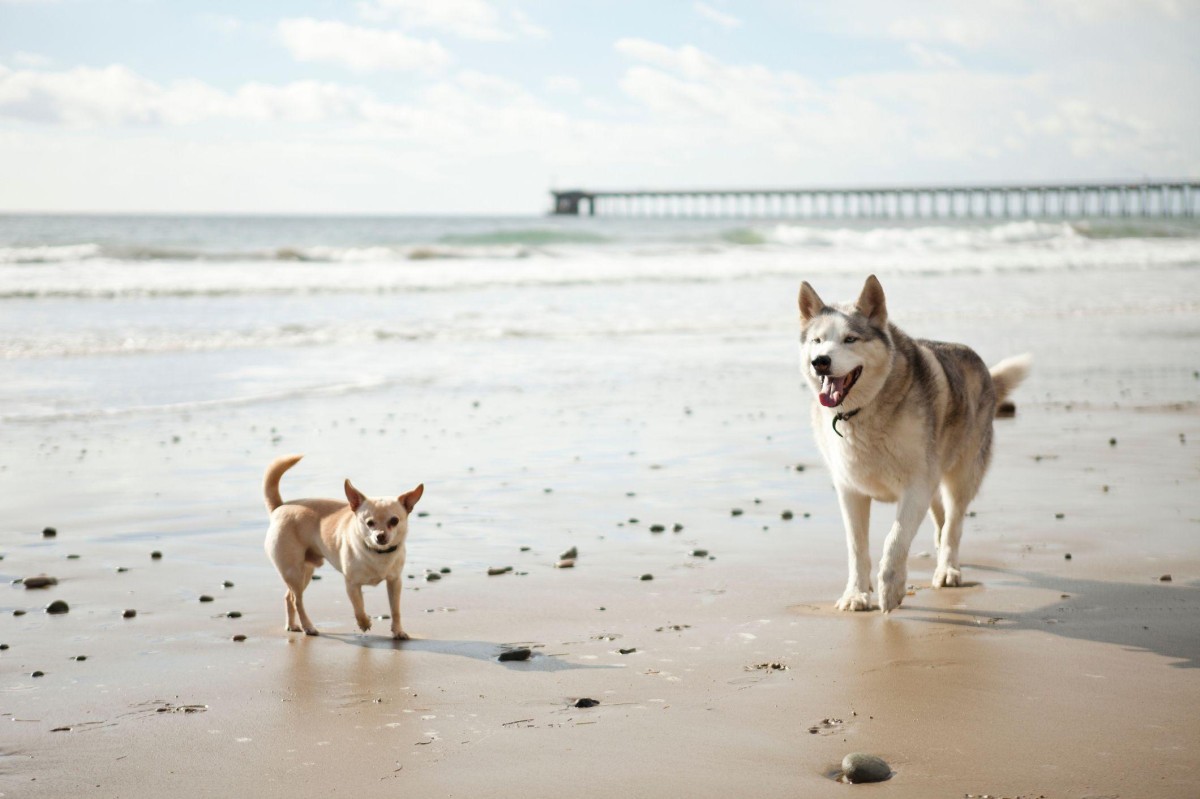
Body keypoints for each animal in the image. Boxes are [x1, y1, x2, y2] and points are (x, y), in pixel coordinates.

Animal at [801, 273, 1027, 609]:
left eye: (850, 339)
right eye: (817, 341)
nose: (820, 362)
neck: (861, 412)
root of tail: (983, 367)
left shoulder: (915, 486)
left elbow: (895, 539)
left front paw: (891, 587)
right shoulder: (851, 490)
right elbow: (857, 548)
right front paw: (856, 593)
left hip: (962, 474)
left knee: (954, 524)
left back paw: (947, 569)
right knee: (941, 517)